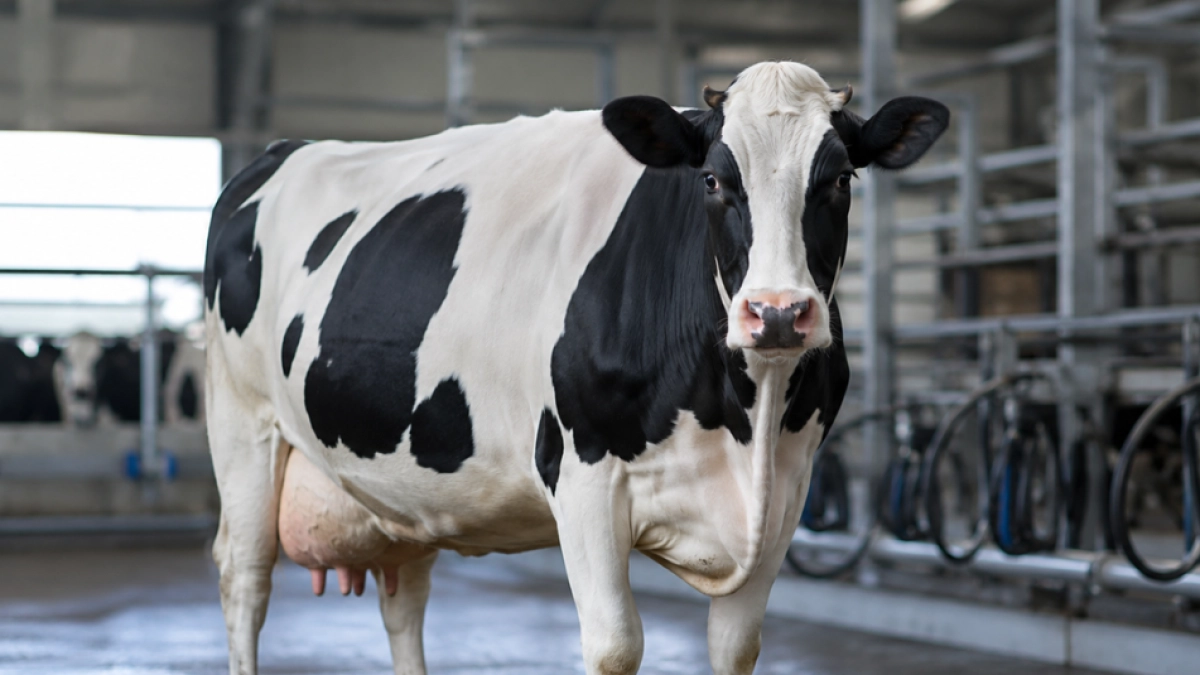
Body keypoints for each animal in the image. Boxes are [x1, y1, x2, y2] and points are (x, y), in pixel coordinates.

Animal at [204, 61, 947, 675]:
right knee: (245, 579)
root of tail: (284, 150)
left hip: (408, 486)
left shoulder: (787, 492)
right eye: (713, 179)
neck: (745, 418)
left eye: (841, 179)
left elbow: (736, 649)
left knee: (405, 601)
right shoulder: (584, 476)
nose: (778, 313)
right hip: (242, 425)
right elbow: (616, 645)